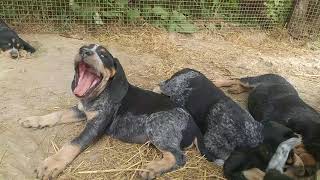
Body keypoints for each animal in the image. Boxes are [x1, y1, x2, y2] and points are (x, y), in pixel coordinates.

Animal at [17, 44, 212, 180]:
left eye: (103, 55)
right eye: (84, 47)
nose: (83, 51)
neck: (98, 95)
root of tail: (194, 127)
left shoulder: (95, 126)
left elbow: (73, 143)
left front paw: (52, 164)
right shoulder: (81, 111)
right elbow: (57, 114)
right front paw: (34, 120)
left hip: (158, 124)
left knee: (178, 157)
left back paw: (151, 169)